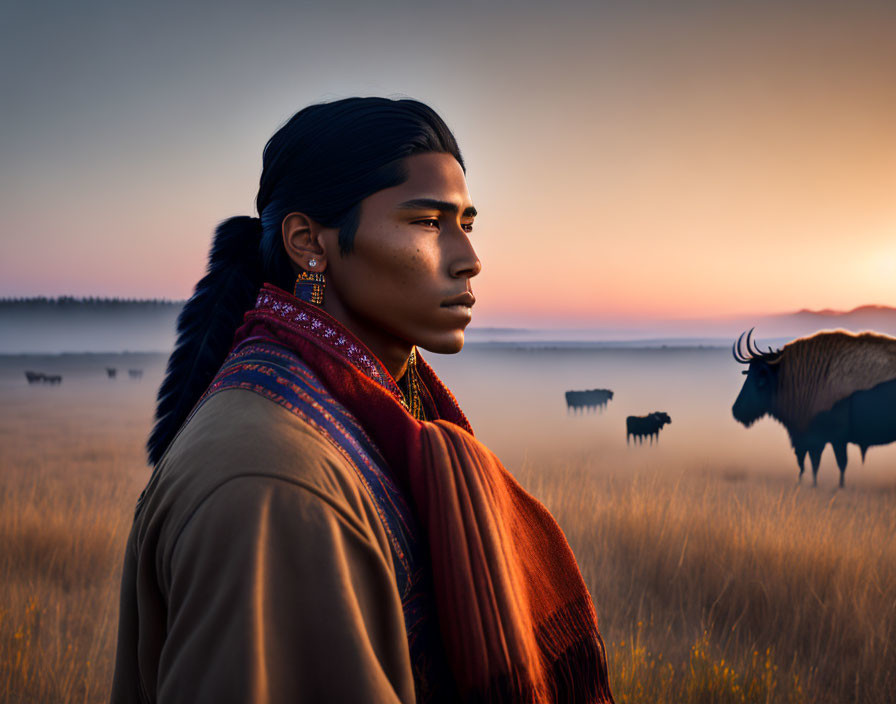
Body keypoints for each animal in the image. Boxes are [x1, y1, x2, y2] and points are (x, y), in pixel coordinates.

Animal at [732, 328, 896, 484]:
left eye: (761, 377)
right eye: (748, 373)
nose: (736, 411)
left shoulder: (832, 439)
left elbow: (836, 464)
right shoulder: (809, 439)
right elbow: (812, 465)